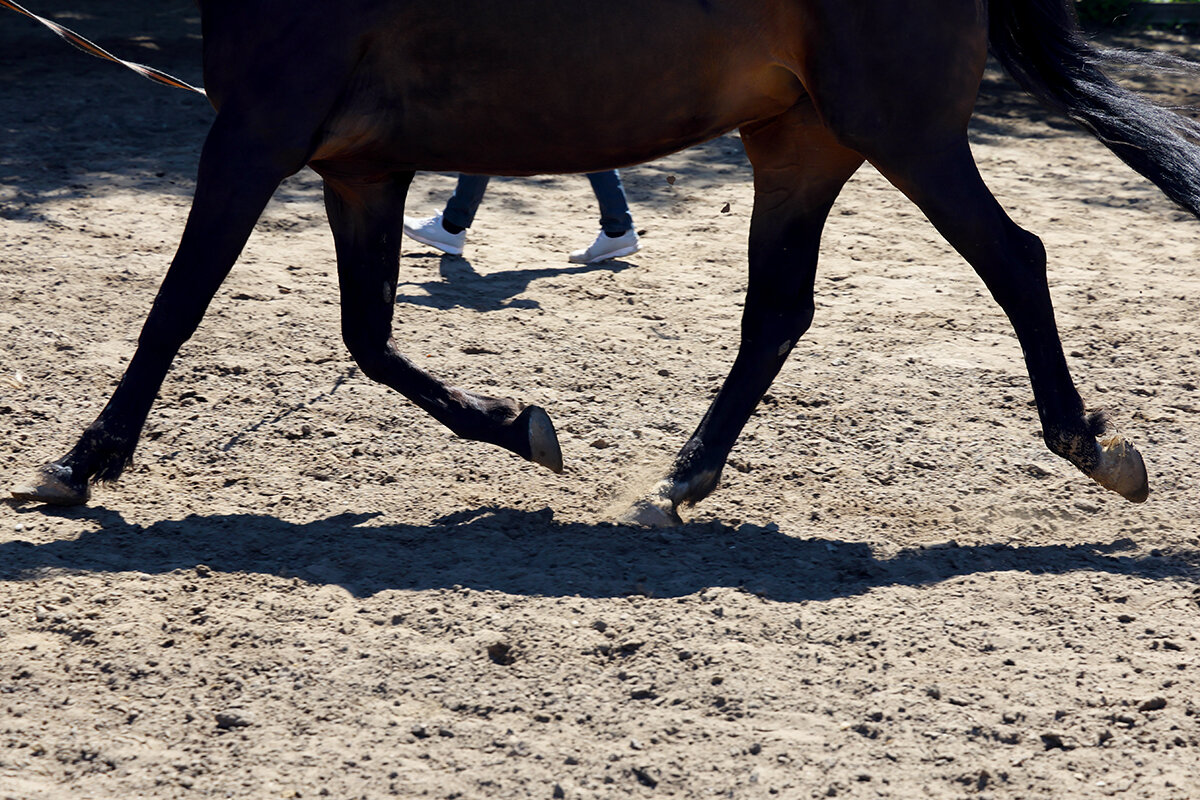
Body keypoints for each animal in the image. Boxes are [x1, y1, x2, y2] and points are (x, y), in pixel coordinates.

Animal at [9, 0, 1200, 525]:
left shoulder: (253, 136)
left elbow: (175, 308)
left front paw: (80, 462)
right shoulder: (362, 170)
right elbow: (370, 335)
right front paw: (519, 427)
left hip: (899, 130)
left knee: (1016, 259)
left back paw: (1092, 444)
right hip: (801, 144)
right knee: (778, 312)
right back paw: (680, 478)